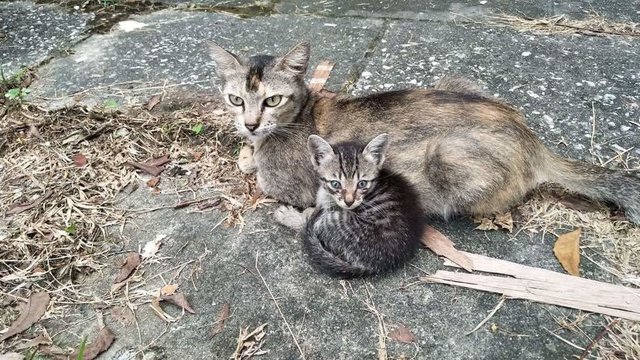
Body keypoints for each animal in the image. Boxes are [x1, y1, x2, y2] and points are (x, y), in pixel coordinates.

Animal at [276, 134, 422, 278]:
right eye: (335, 184)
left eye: (362, 183)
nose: (349, 201)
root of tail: (379, 264)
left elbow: (309, 218)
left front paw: (290, 215)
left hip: (337, 223)